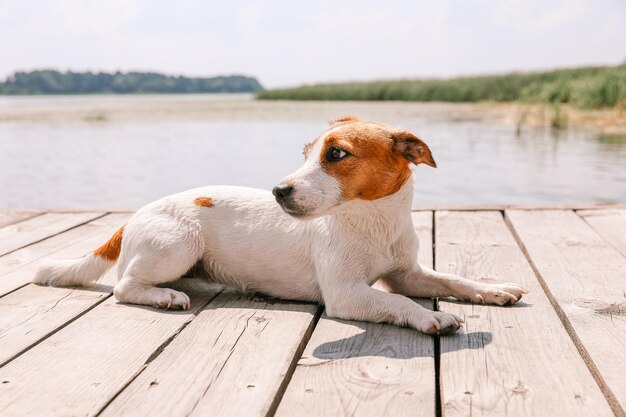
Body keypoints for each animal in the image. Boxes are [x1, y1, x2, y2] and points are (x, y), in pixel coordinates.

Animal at [33, 115, 520, 334]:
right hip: (179, 244)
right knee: (124, 286)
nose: (277, 191)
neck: (373, 221)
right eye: (305, 153)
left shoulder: (408, 274)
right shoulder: (346, 294)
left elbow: (453, 279)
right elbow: (400, 303)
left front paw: (493, 289)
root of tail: (133, 216)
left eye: (336, 153)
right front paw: (430, 317)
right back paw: (165, 296)